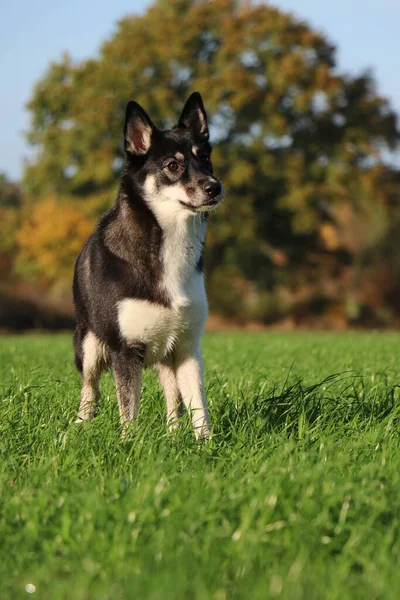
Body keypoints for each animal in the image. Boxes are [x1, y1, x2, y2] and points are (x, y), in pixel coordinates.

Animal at [72, 91, 222, 438]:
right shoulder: (125, 350)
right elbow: (128, 410)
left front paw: (206, 444)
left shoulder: (187, 347)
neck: (169, 242)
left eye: (205, 159)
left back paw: (172, 433)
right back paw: (78, 428)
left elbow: (197, 406)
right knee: (90, 389)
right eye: (173, 165)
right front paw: (129, 444)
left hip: (165, 351)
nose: (215, 187)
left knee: (172, 396)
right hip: (89, 344)